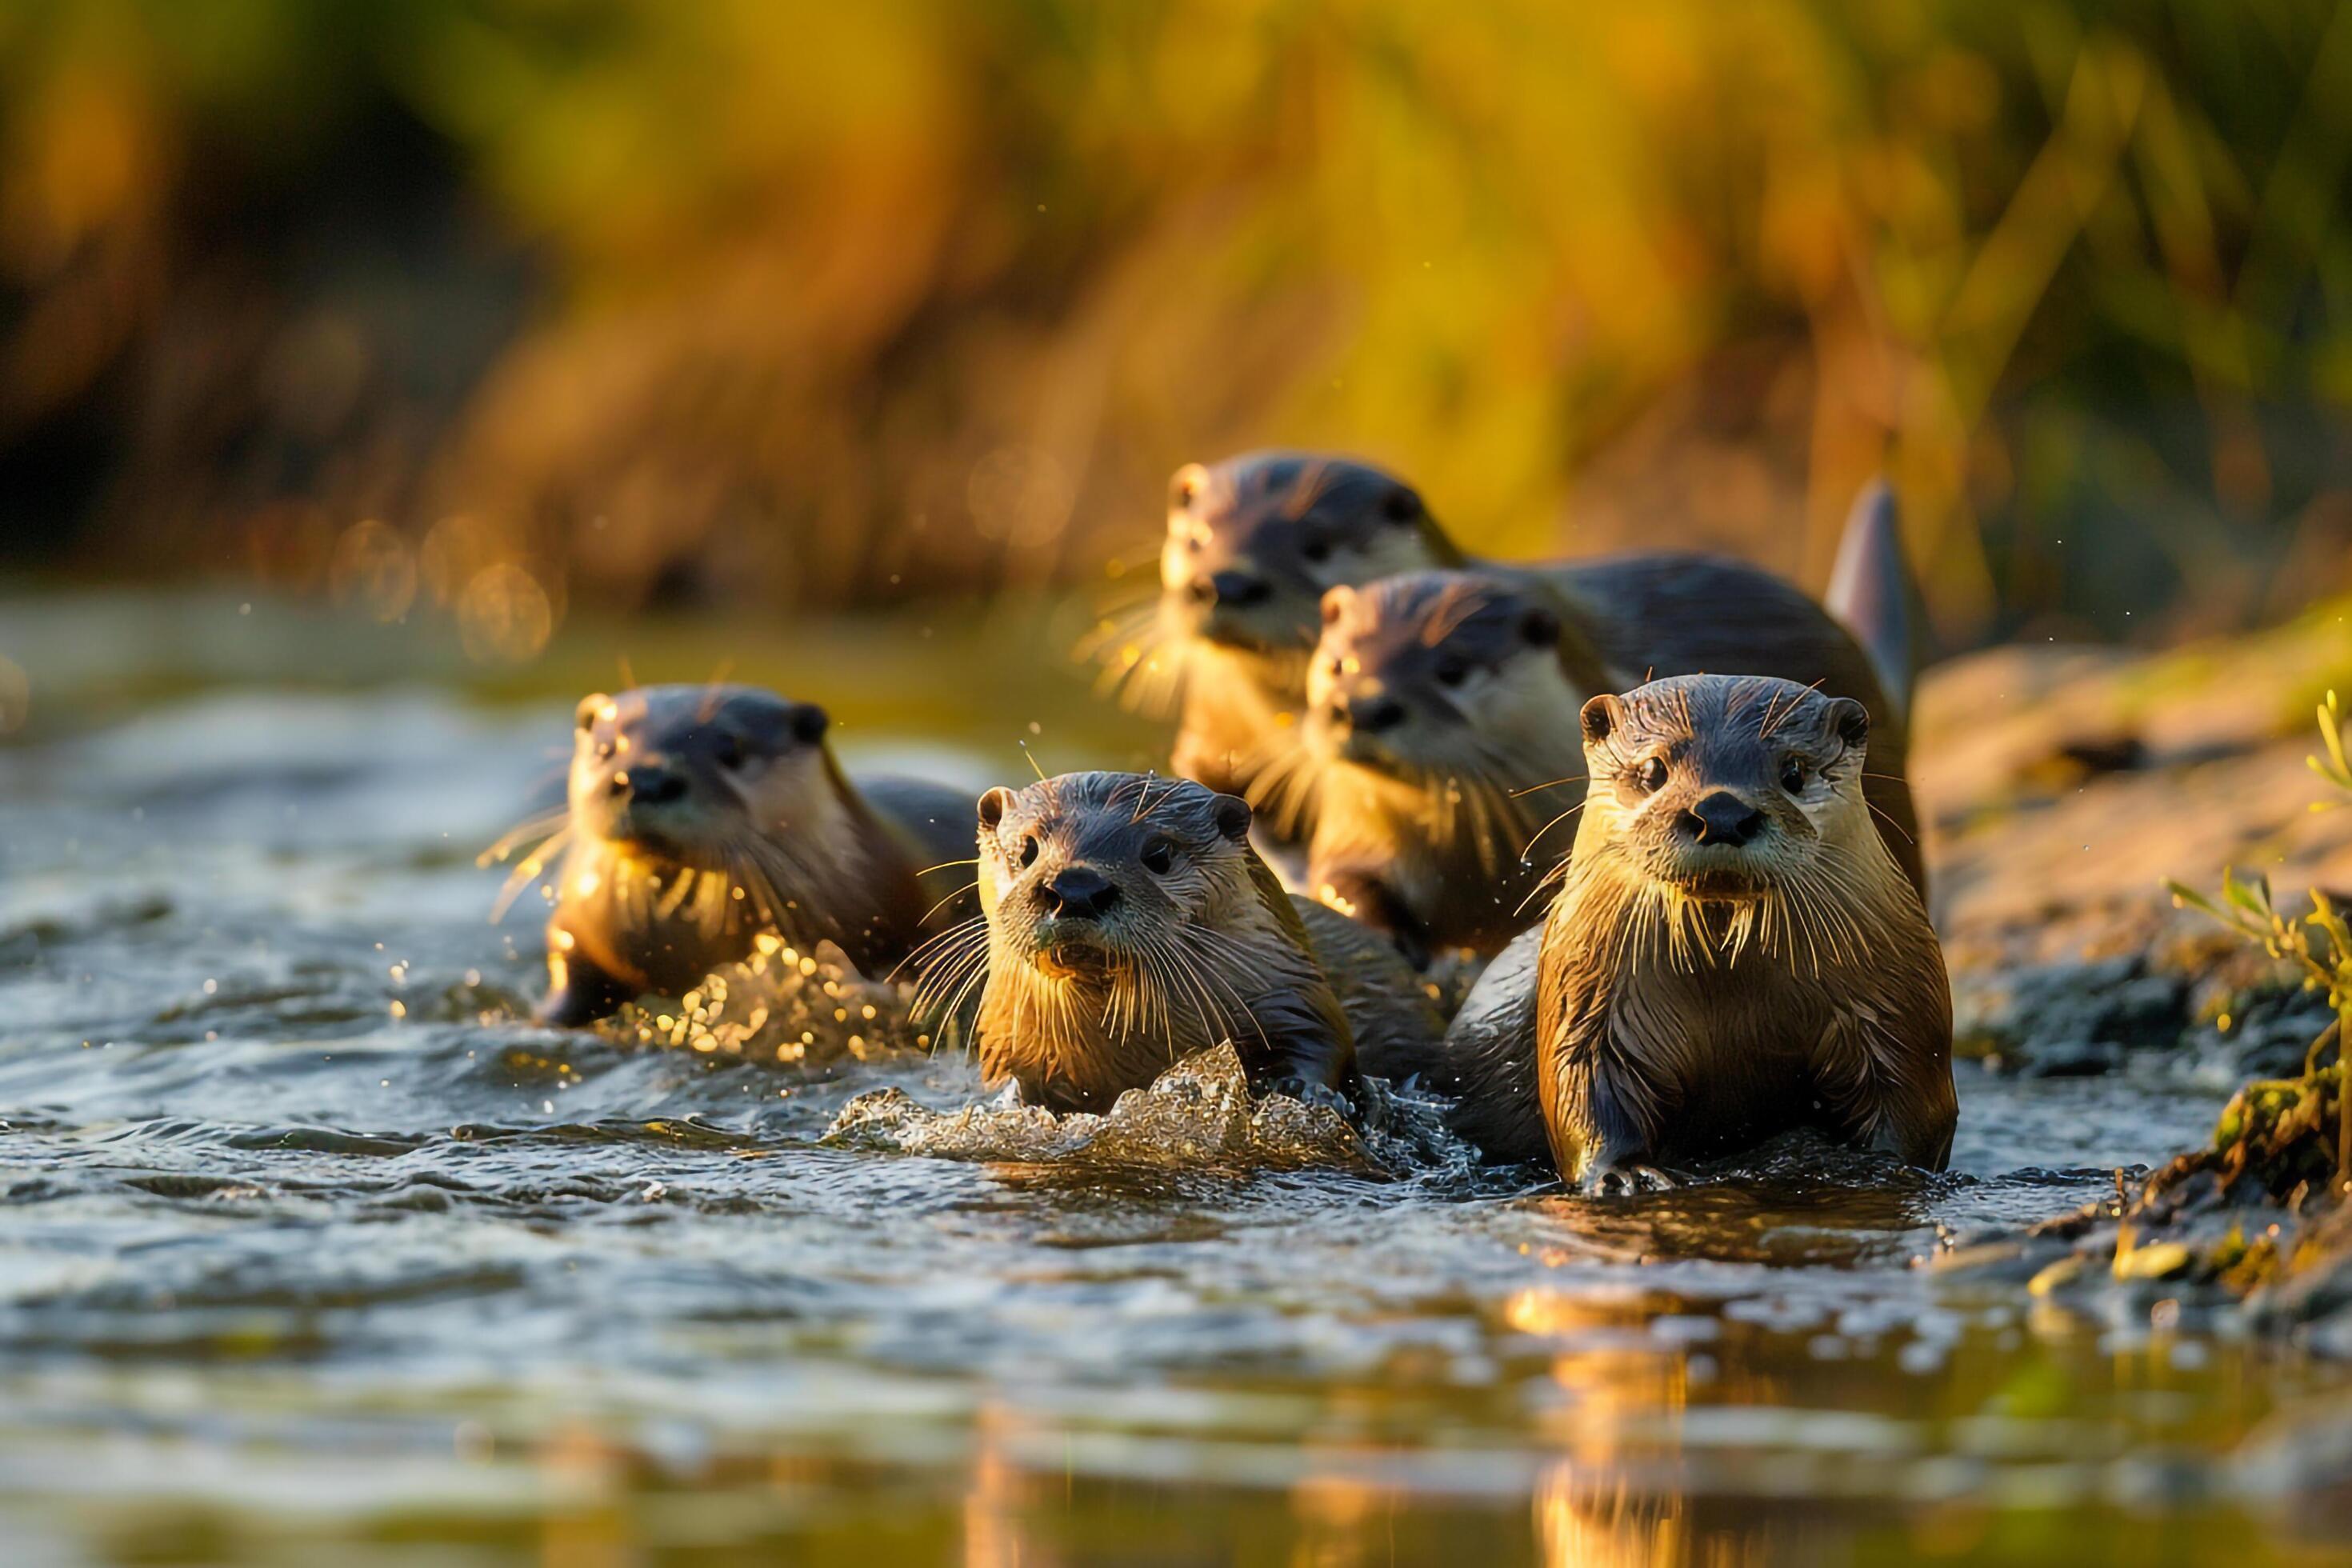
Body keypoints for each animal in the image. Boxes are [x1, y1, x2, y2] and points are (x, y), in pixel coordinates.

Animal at [912, 770, 1430, 1114]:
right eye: (1026, 849)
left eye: (1159, 852)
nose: (1075, 888)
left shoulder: (1293, 995)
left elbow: (1320, 1043)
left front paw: (1299, 1093)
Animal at [1298, 564, 1919, 958]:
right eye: (1340, 662)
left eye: (1453, 668)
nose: (1361, 707)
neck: (1471, 862)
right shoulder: (1353, 831)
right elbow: (1339, 879)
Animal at [1411, 672, 1947, 1189]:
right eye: (1653, 770)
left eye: (1793, 771)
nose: (1722, 813)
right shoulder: (1586, 999)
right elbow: (1584, 1087)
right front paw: (1623, 1173)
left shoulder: (1897, 1007)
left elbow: (1912, 1101)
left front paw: (1884, 1165)